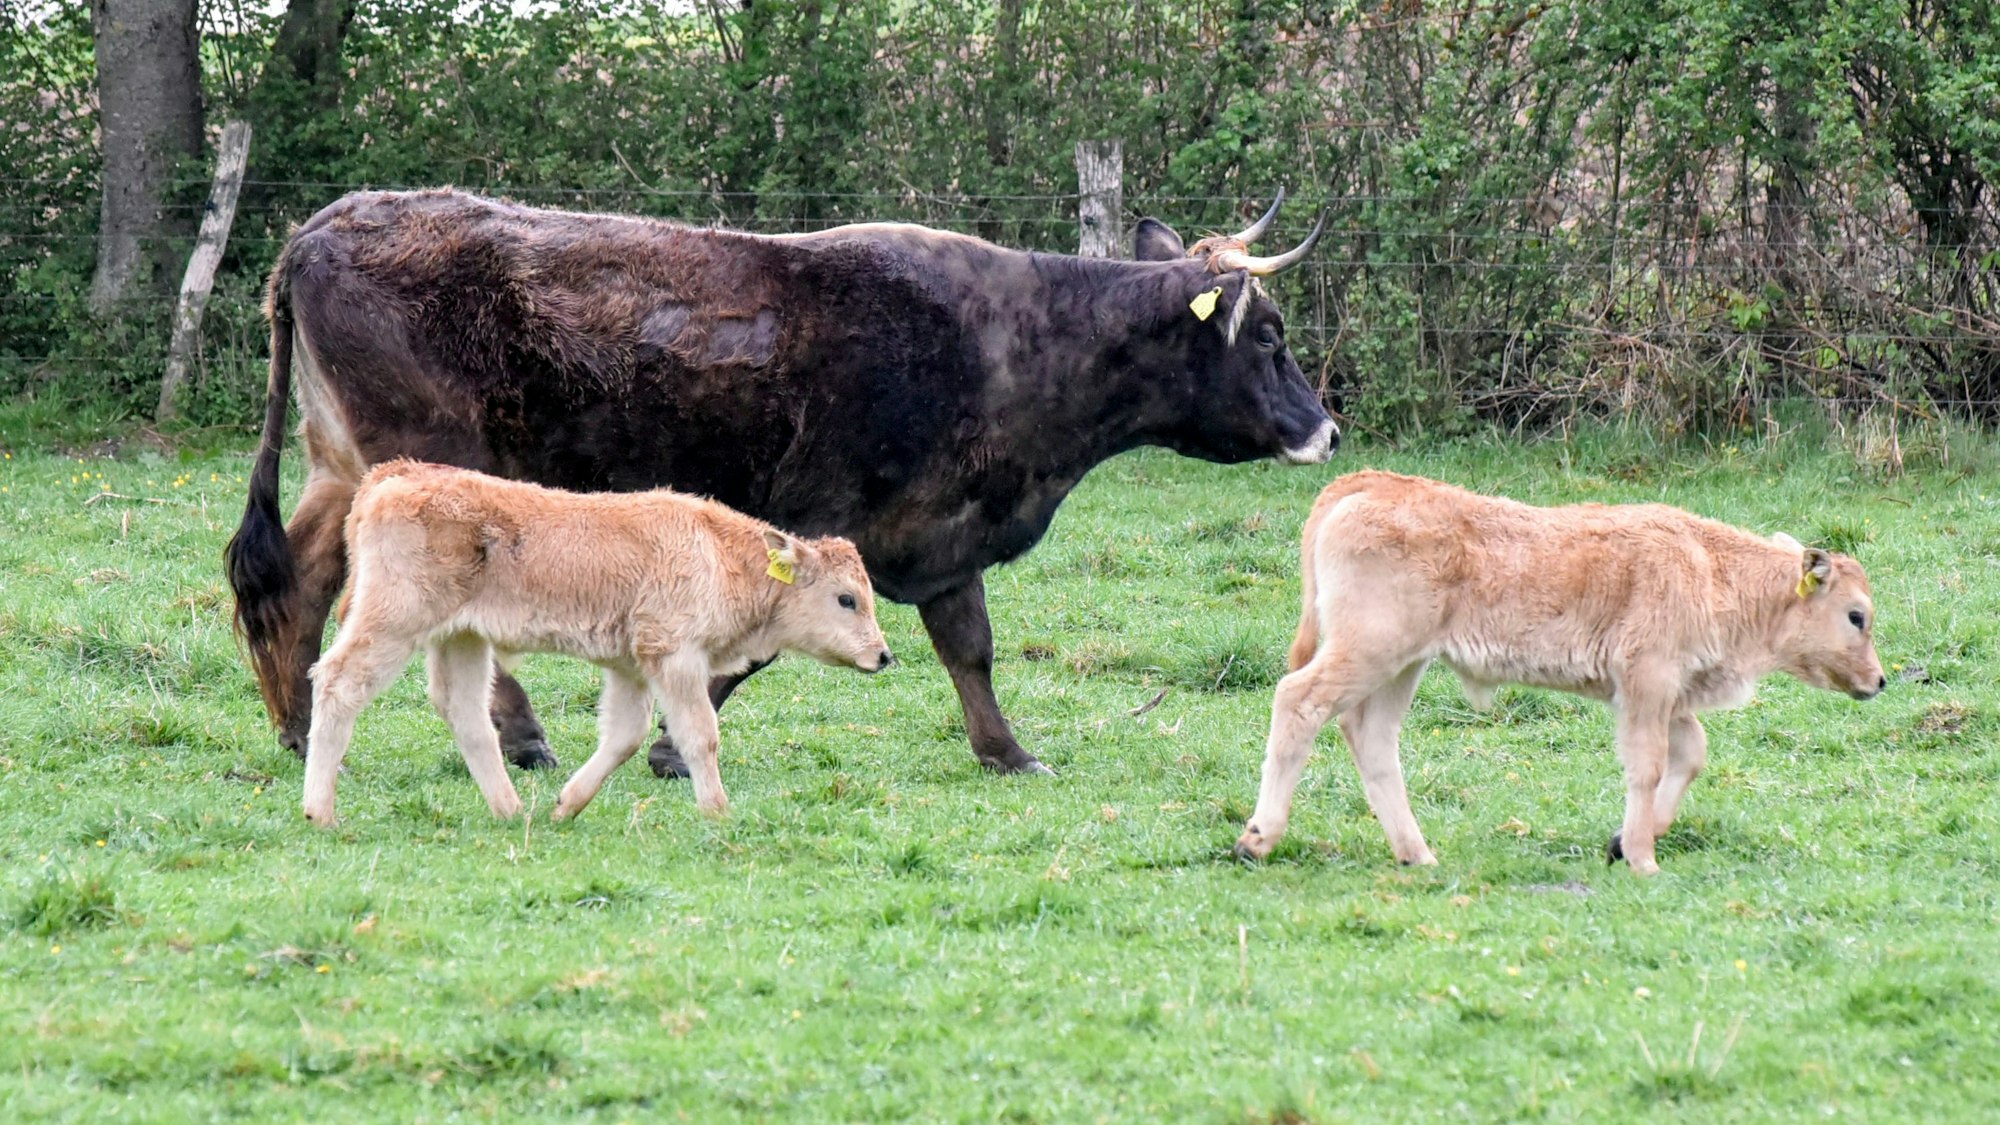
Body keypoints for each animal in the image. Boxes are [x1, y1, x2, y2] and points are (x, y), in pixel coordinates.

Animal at [226, 187, 1335, 781]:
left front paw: (1006, 751)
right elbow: (761, 647)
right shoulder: (829, 520)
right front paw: (674, 748)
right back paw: (519, 732)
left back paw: (298, 722)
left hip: (342, 461)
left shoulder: (940, 533)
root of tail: (320, 227)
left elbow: (967, 647)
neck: (1014, 340)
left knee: (294, 579)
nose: (1325, 429)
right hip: (428, 463)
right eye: (1268, 338)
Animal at [301, 460, 892, 827]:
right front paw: (719, 812)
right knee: (338, 681)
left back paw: (512, 811)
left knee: (464, 712)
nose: (883, 655)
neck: (720, 553)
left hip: (460, 637)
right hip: (393, 621)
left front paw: (566, 805)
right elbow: (700, 735)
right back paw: (320, 813)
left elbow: (625, 735)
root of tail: (395, 474)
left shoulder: (630, 667)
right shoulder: (675, 658)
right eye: (846, 598)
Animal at [1232, 471, 1886, 875]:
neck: (1710, 567)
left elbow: (1691, 753)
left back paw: (1416, 853)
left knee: (1371, 739)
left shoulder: (1666, 694)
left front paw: (1624, 843)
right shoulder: (1648, 682)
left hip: (1403, 665)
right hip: (1369, 652)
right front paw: (1643, 857)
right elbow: (1648, 765)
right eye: (1857, 615)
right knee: (1299, 701)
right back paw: (1257, 839)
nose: (1879, 681)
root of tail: (1368, 481)